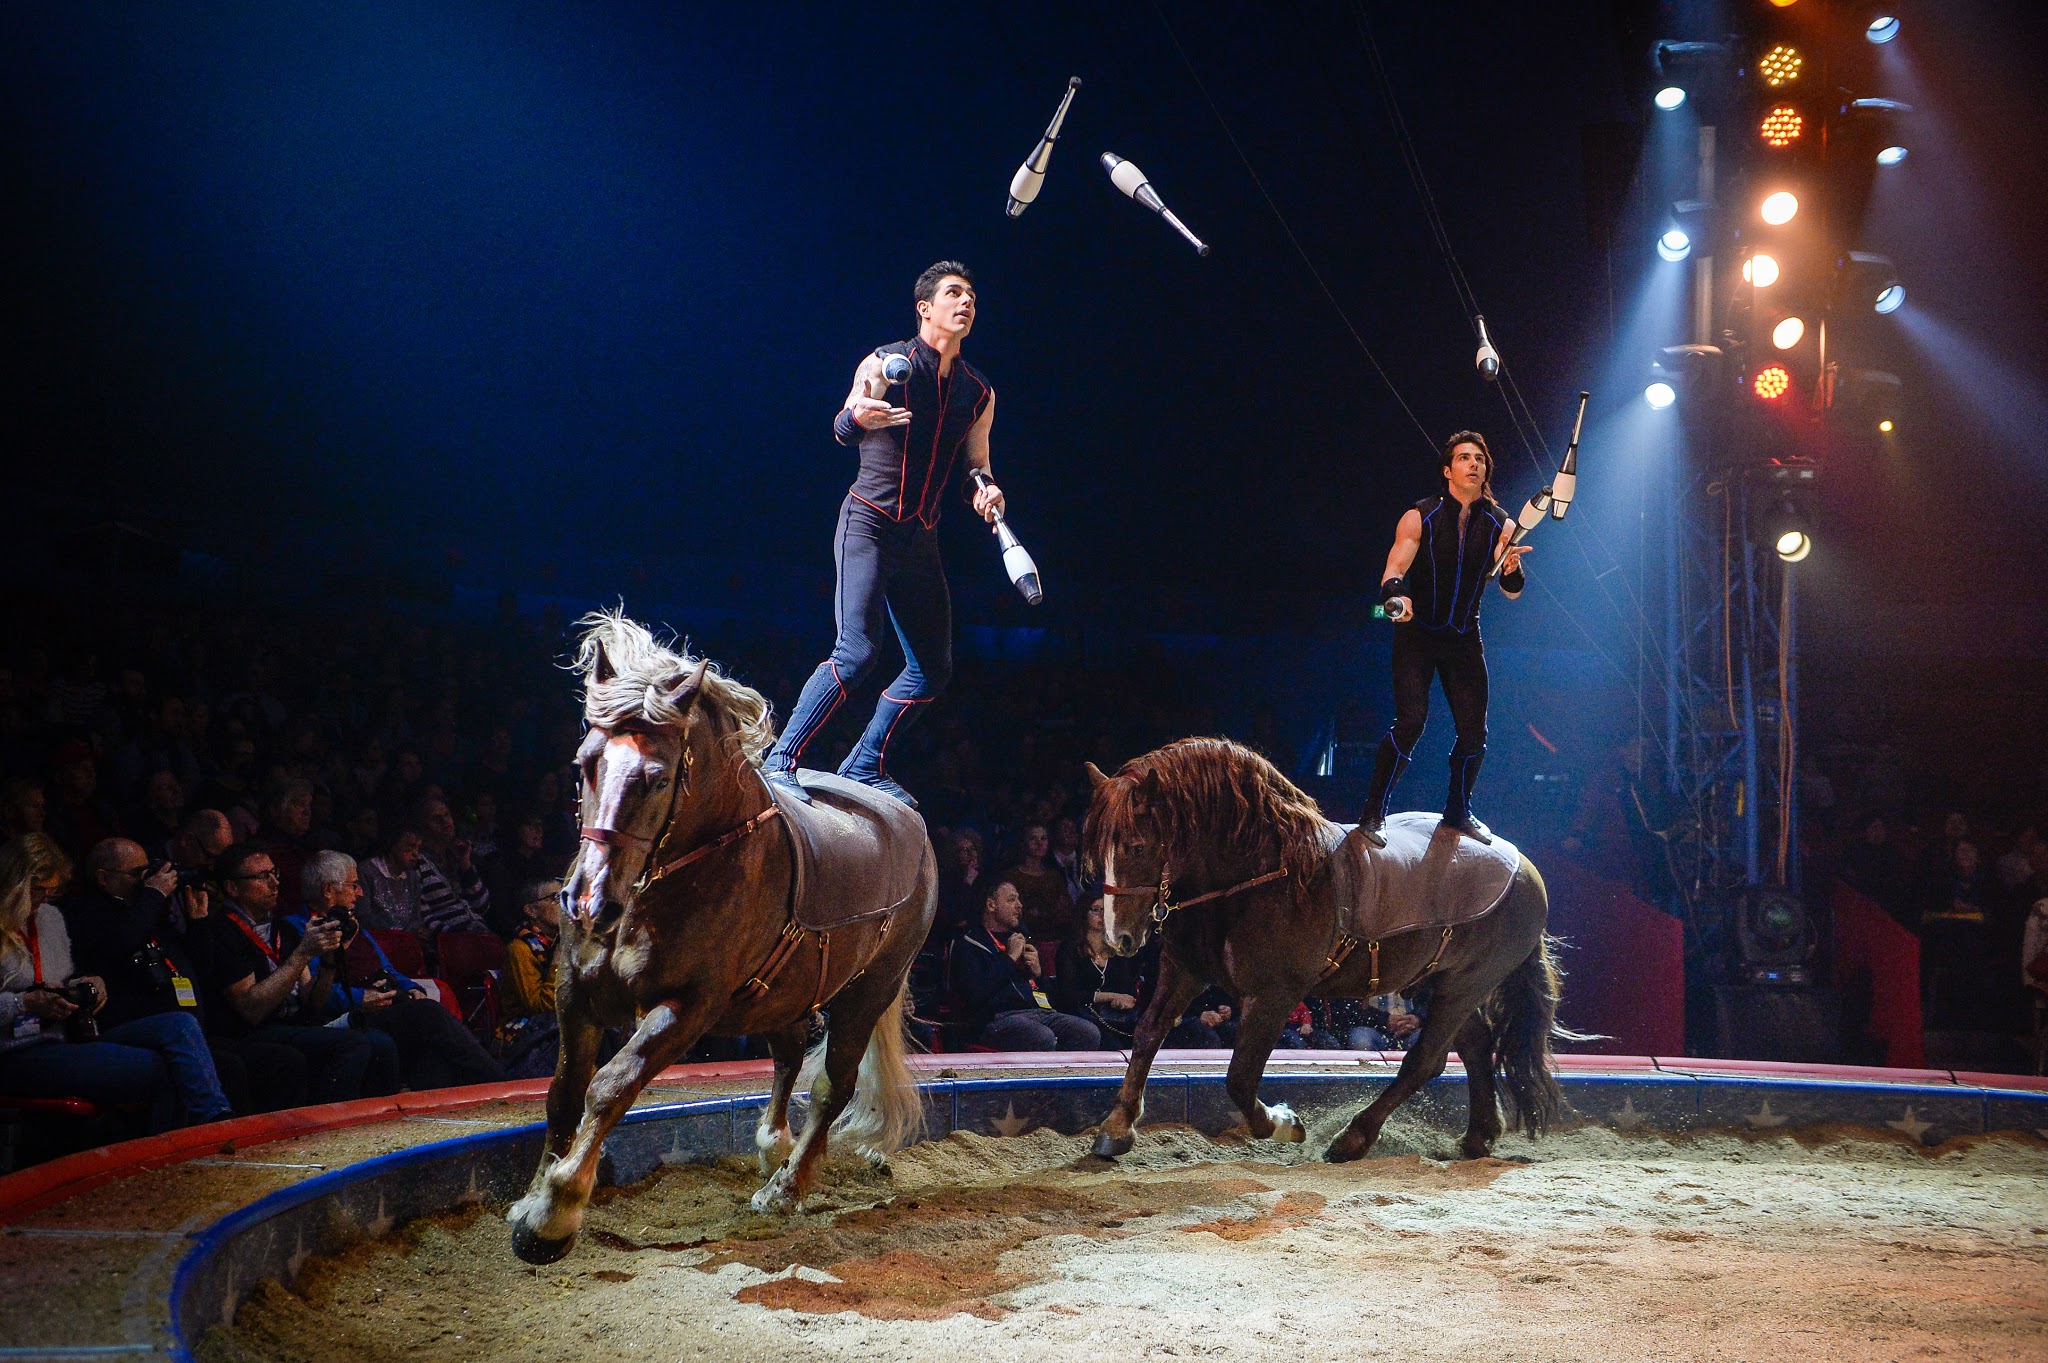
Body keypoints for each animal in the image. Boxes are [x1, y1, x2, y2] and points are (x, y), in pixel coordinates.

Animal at [507, 612, 936, 1264]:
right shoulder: (575, 994)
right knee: (790, 1055)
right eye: (584, 763)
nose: (586, 902)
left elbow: (608, 1088)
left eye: (657, 779)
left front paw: (554, 1214)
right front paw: (533, 1199)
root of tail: (908, 820)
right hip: (783, 995)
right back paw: (773, 1149)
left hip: (868, 992)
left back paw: (786, 1189)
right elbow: (563, 1093)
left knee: (832, 1085)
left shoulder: (687, 1008)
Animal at [1083, 737, 1573, 1164]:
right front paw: (1117, 1127)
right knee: (1474, 1045)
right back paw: (1478, 1136)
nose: (1117, 938)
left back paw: (1354, 1137)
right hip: (1440, 982)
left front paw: (1284, 1124)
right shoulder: (1184, 969)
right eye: (1095, 851)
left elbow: (1240, 1078)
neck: (1261, 876)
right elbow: (1148, 1034)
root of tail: (1524, 866)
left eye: (1137, 847)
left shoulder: (1275, 995)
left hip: (1467, 984)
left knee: (1425, 1061)